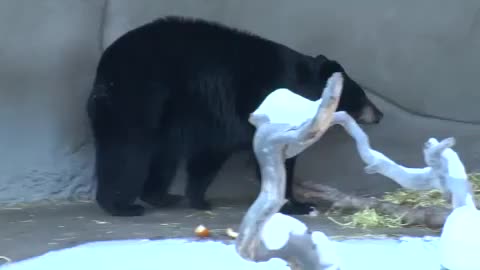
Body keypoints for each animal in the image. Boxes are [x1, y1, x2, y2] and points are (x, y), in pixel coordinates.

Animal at [87, 15, 382, 216]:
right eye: (361, 96)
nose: (379, 114)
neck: (300, 88)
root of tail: (105, 68)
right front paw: (298, 204)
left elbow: (207, 156)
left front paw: (197, 198)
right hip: (140, 99)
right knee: (128, 151)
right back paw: (120, 205)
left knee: (162, 156)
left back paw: (161, 196)